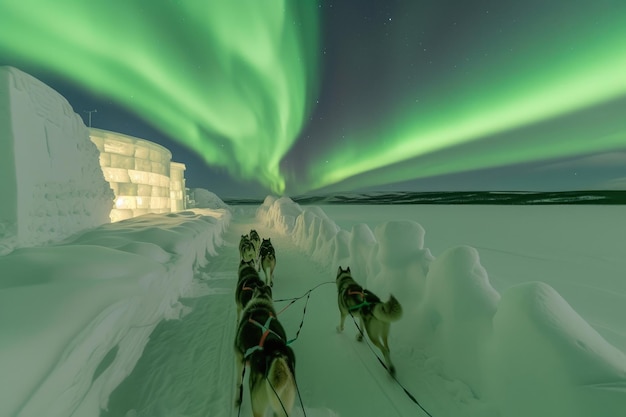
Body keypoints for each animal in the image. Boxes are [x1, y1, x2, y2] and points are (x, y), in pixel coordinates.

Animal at [234, 282, 294, 416]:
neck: (260, 304)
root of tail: (276, 353)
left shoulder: (239, 357)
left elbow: (239, 382)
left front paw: (237, 400)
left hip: (258, 406)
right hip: (283, 407)